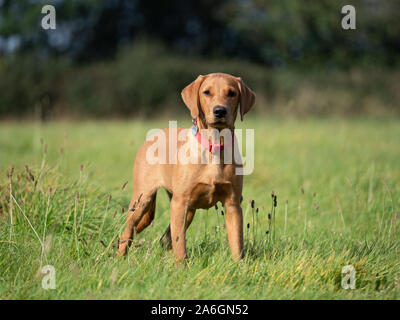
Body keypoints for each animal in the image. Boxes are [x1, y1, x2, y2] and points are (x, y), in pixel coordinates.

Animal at [118, 72, 256, 260]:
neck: (214, 145)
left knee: (166, 238)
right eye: (206, 92)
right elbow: (180, 245)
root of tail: (153, 136)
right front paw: (181, 265)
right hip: (143, 199)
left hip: (186, 210)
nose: (220, 111)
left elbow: (236, 243)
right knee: (129, 231)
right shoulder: (180, 203)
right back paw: (119, 258)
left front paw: (238, 265)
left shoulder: (233, 203)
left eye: (232, 93)